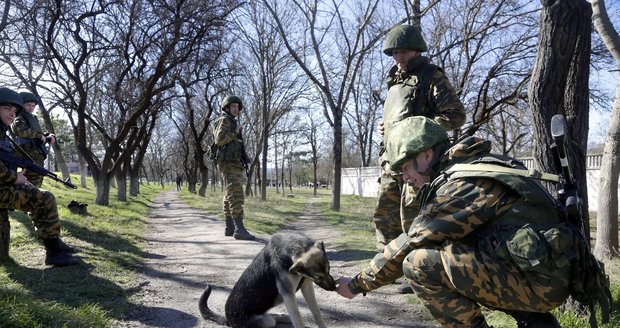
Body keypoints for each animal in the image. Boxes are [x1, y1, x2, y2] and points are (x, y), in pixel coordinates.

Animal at [199, 232, 336, 326]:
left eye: (329, 269)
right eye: (318, 276)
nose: (335, 288)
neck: (299, 247)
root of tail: (228, 319)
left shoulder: (307, 286)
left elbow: (317, 313)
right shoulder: (288, 293)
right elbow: (297, 318)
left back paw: (282, 316)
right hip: (264, 322)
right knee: (269, 320)